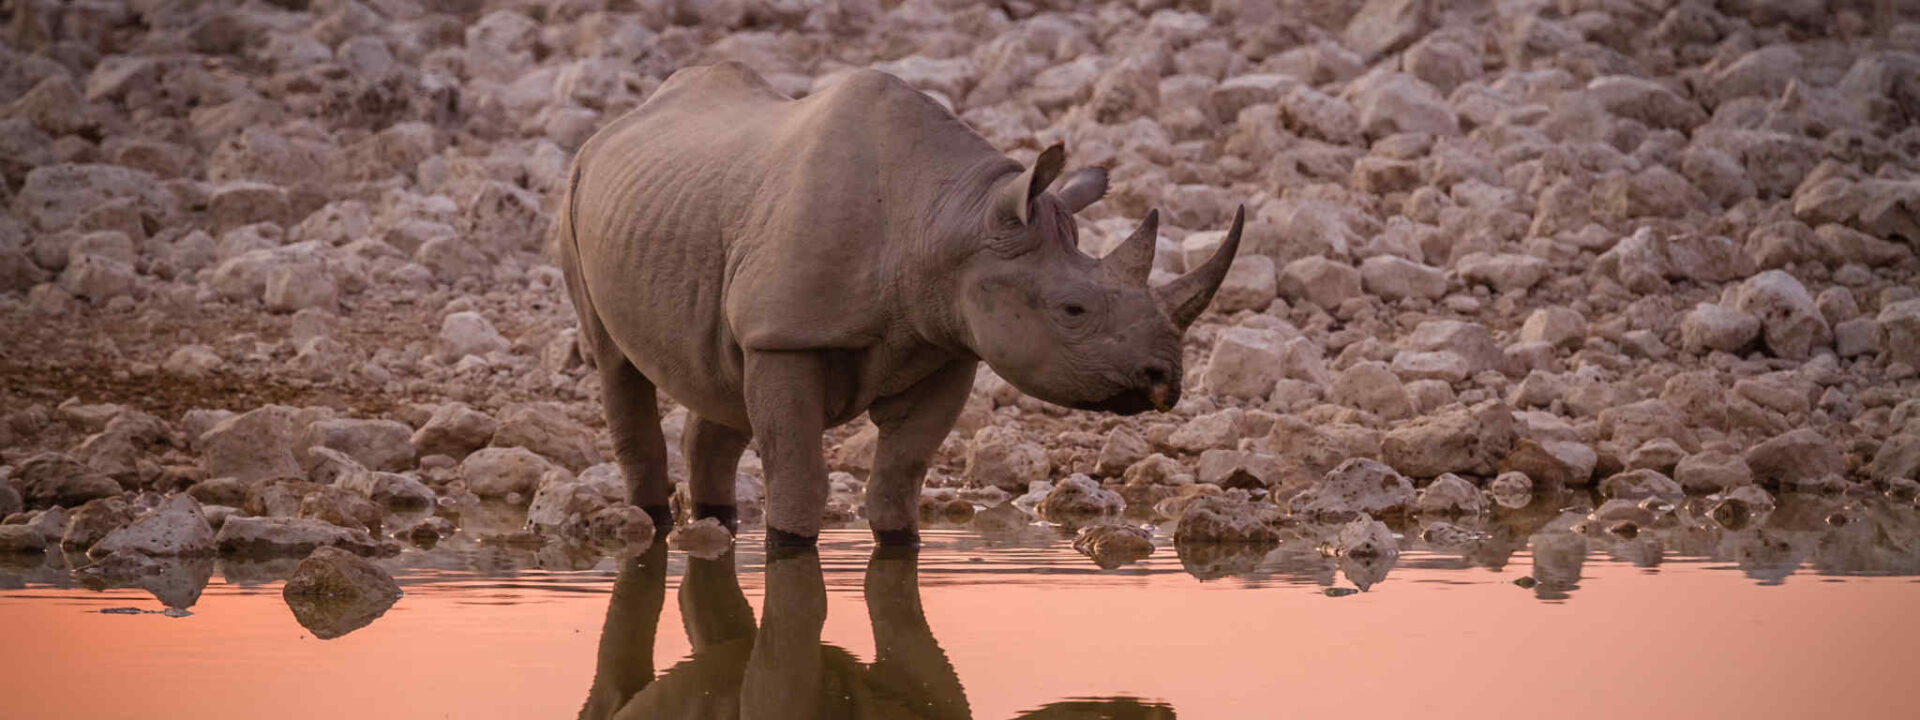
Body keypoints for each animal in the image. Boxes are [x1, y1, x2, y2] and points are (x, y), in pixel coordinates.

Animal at [556, 62, 1244, 546]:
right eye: (1073, 311)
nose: (1165, 380)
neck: (950, 221)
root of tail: (620, 124)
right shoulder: (786, 336)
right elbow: (799, 474)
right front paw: (789, 544)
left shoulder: (947, 342)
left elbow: (900, 475)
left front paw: (898, 541)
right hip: (578, 185)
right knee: (615, 364)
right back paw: (653, 521)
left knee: (719, 379)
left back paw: (717, 525)